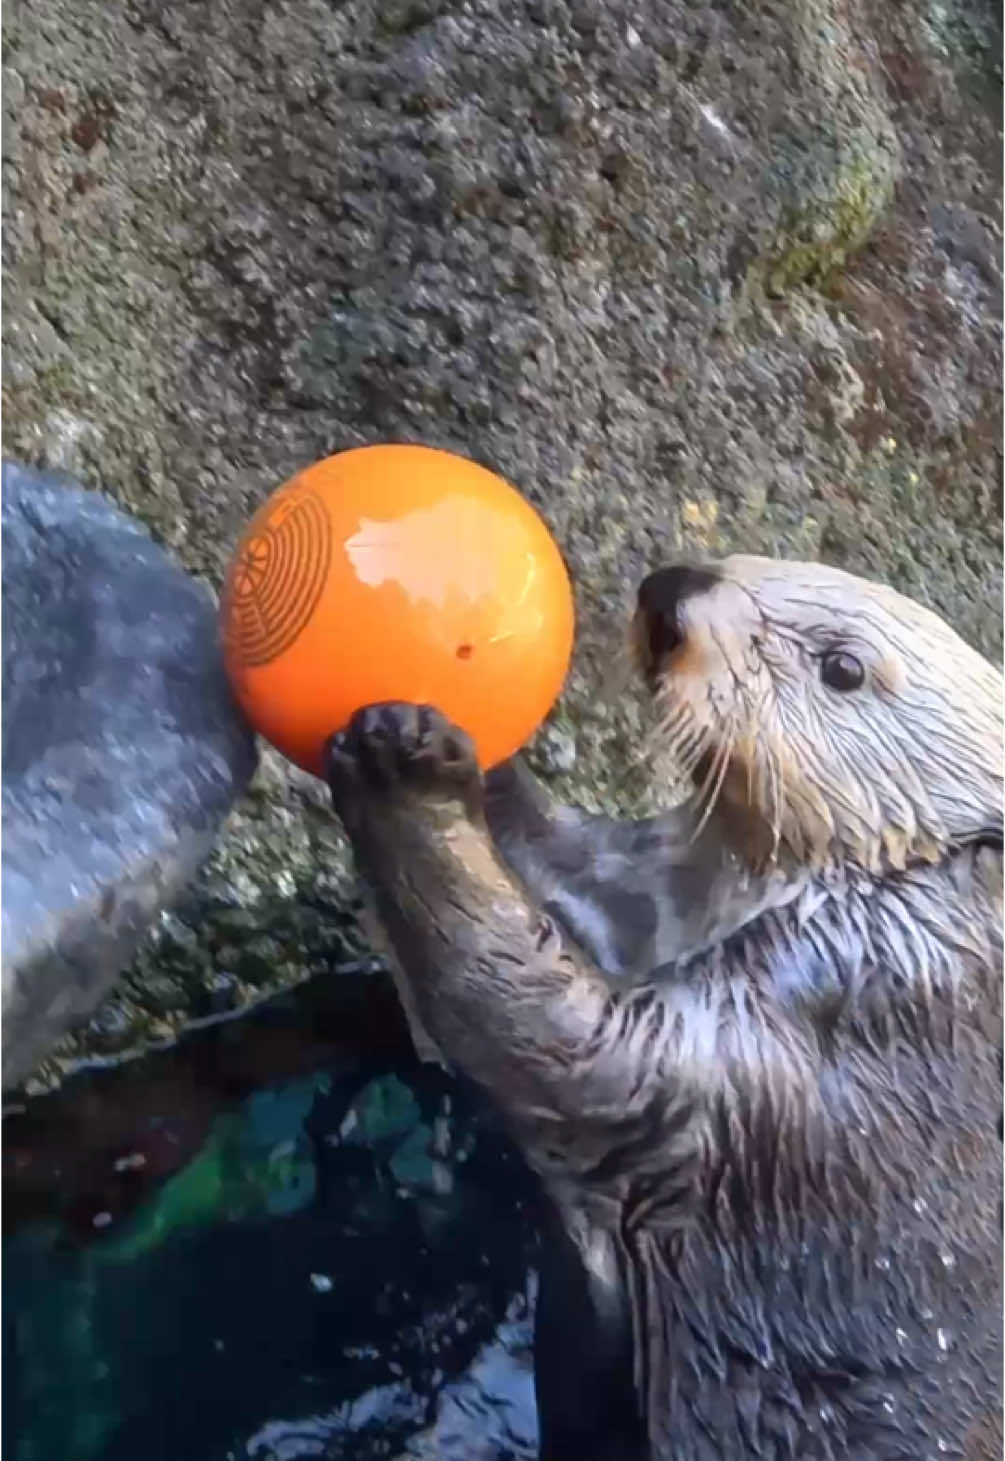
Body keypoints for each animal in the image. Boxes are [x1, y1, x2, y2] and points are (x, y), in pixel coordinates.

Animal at [324, 556, 1003, 1461]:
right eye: (760, 561)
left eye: (842, 668)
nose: (675, 590)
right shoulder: (647, 897)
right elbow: (576, 879)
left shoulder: (816, 1020)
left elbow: (556, 1038)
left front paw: (408, 768)